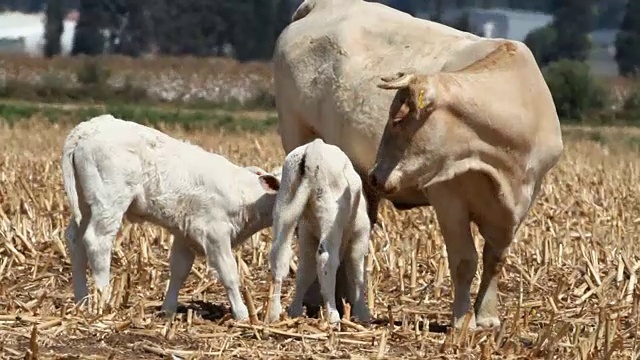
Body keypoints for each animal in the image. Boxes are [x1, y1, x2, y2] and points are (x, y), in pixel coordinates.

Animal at [268, 138, 370, 324]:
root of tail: (314, 147)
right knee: (326, 259)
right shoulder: (360, 235)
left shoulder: (307, 234)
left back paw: (274, 313)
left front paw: (294, 310)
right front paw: (362, 313)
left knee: (279, 255)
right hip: (330, 217)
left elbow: (304, 272)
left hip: (284, 207)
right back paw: (332, 315)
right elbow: (357, 272)